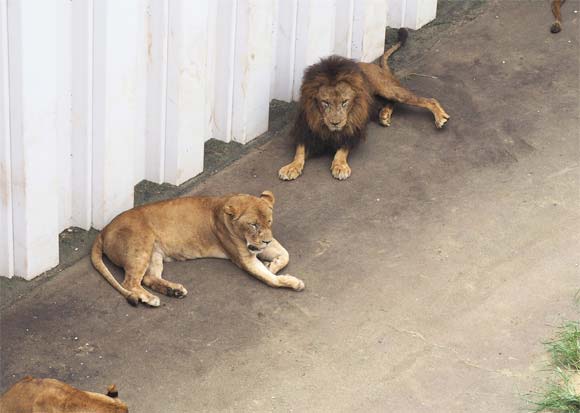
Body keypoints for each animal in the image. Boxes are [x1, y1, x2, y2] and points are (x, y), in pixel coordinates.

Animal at [90, 190, 304, 306]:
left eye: (269, 221)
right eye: (253, 225)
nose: (266, 241)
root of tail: (104, 229)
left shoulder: (260, 246)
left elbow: (285, 254)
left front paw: (273, 266)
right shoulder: (244, 258)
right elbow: (270, 280)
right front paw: (291, 282)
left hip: (154, 253)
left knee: (149, 278)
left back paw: (174, 291)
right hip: (141, 247)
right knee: (130, 282)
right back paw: (150, 299)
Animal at [278, 26, 450, 179]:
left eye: (345, 102)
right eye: (325, 102)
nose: (335, 123)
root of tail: (372, 65)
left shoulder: (353, 129)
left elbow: (342, 149)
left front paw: (340, 166)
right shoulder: (306, 130)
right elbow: (299, 151)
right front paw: (291, 167)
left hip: (388, 89)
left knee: (428, 100)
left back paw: (440, 118)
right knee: (391, 103)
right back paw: (384, 115)